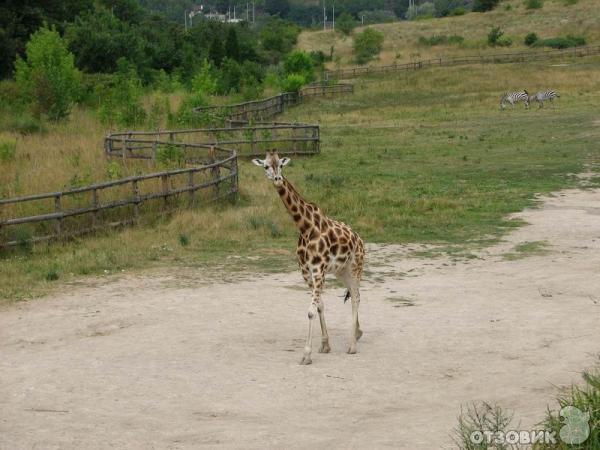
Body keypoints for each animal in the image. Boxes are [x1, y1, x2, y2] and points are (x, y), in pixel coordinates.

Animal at [253, 149, 366, 364]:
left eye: (281, 165)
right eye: (266, 166)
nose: (278, 179)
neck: (305, 227)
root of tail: (359, 238)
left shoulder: (318, 270)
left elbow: (311, 311)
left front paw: (306, 354)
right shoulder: (306, 272)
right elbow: (319, 306)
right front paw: (325, 345)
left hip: (356, 266)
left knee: (356, 296)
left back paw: (352, 346)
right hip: (341, 271)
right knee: (354, 294)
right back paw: (358, 333)